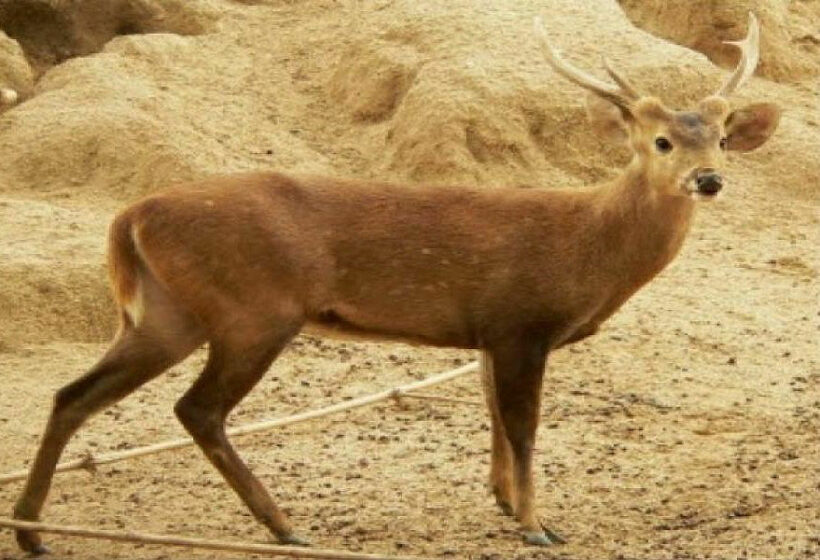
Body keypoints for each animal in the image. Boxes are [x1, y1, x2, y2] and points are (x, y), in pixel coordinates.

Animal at [14, 12, 780, 552]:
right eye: (660, 141)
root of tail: (131, 215)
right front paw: (538, 524)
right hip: (252, 309)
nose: (707, 180)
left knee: (72, 394)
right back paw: (286, 526)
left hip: (168, 311)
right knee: (196, 409)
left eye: (718, 137)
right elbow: (524, 427)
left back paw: (32, 531)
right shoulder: (522, 322)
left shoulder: (487, 334)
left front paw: (505, 503)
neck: (586, 246)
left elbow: (494, 421)